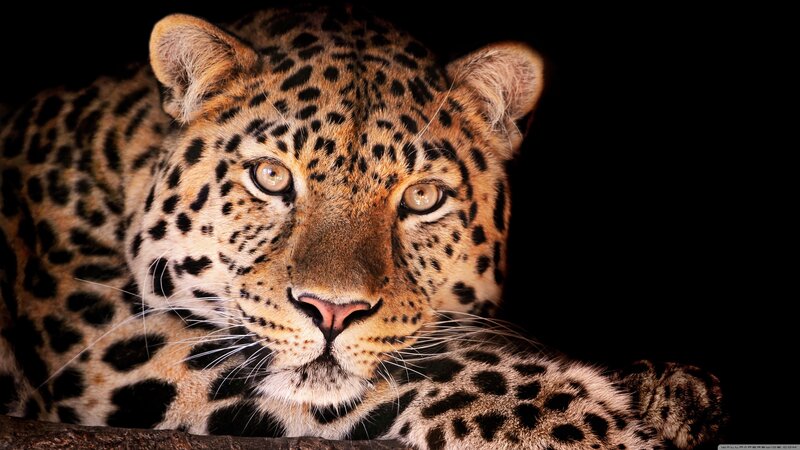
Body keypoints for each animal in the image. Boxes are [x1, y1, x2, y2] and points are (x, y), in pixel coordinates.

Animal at [0, 6, 724, 449]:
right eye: (271, 177)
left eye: (423, 196)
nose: (331, 311)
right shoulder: (106, 346)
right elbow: (412, 368)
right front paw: (567, 421)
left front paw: (670, 391)